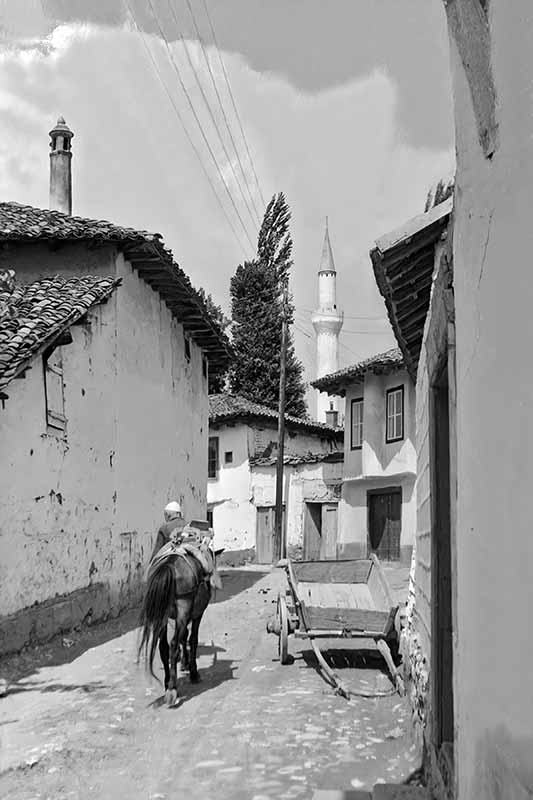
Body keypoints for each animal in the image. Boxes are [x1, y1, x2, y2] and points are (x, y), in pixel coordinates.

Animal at [138, 544, 221, 708]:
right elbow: (192, 639)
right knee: (173, 644)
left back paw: (167, 682)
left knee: (164, 646)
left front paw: (184, 663)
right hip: (183, 609)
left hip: (162, 615)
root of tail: (168, 565)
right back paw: (172, 689)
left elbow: (184, 637)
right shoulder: (196, 613)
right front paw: (193, 671)